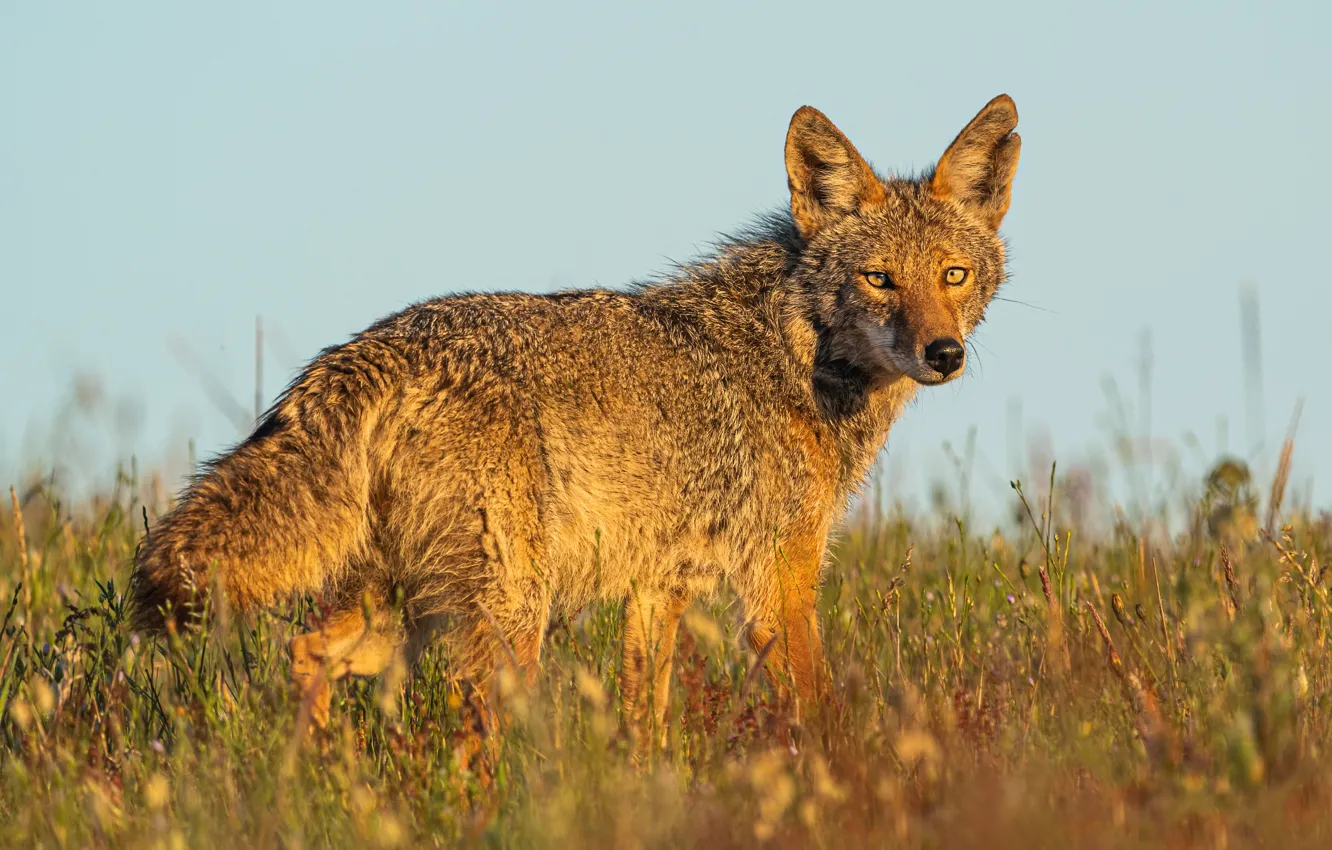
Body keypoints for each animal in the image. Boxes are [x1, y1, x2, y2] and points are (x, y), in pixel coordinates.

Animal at [130, 95, 1020, 747]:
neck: (798, 353)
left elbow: (645, 731)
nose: (944, 353)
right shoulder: (778, 585)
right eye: (879, 279)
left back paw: (315, 783)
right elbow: (824, 714)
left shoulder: (659, 591)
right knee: (471, 729)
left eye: (953, 275)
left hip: (402, 609)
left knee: (306, 651)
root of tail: (371, 350)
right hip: (508, 618)